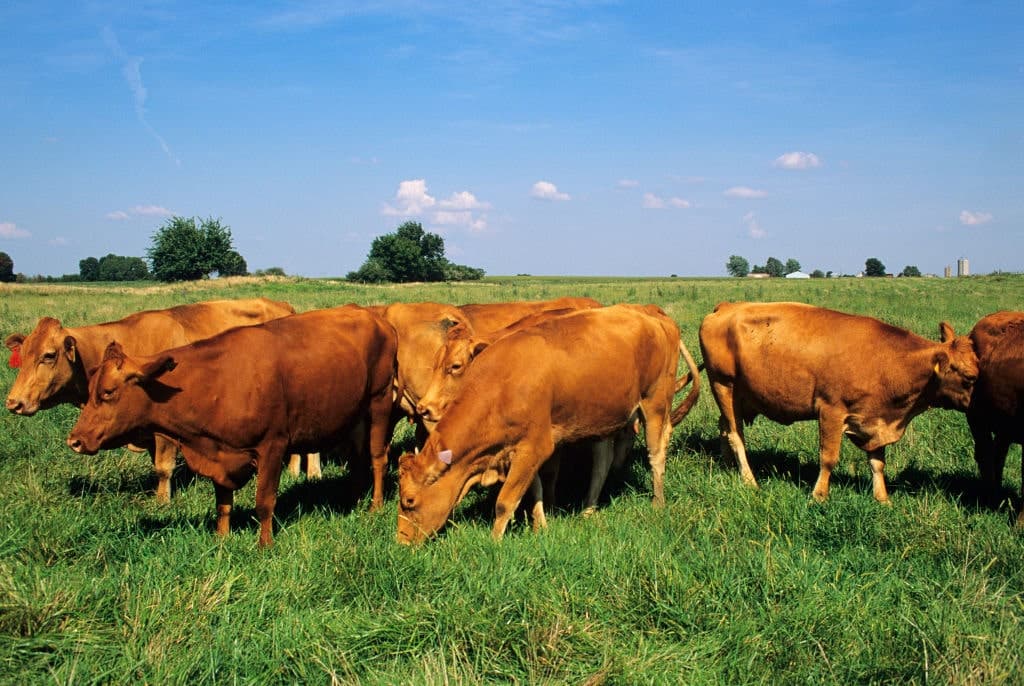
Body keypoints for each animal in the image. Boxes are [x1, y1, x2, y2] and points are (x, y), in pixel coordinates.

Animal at [66, 305, 397, 547]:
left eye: (108, 392)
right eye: (91, 389)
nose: (75, 440)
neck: (215, 383)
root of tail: (374, 317)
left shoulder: (273, 445)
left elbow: (264, 501)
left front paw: (265, 545)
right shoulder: (218, 452)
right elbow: (223, 503)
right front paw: (221, 539)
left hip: (379, 402)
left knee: (377, 458)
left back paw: (375, 505)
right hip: (354, 415)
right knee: (358, 460)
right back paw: (353, 500)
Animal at [396, 304, 701, 544]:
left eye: (409, 501)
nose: (401, 543)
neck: (502, 382)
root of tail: (653, 315)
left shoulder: (537, 446)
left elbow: (505, 501)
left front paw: (494, 544)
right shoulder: (523, 450)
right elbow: (534, 489)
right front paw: (540, 526)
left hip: (655, 404)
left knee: (656, 454)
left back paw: (658, 502)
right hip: (604, 417)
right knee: (602, 462)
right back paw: (588, 509)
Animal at [699, 301, 979, 504]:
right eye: (969, 377)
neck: (888, 361)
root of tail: (726, 306)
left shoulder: (874, 418)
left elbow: (877, 463)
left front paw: (883, 499)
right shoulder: (831, 411)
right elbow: (829, 457)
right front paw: (819, 495)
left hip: (738, 397)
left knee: (724, 427)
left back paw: (728, 466)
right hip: (723, 385)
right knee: (736, 435)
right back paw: (749, 480)